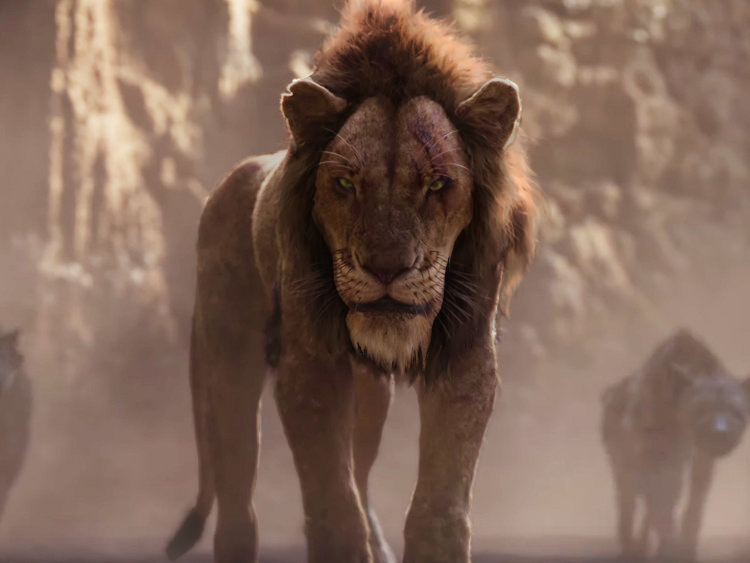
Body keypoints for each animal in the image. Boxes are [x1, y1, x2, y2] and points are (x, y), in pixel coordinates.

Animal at [166, 1, 540, 562]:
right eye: (344, 184)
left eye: (437, 184)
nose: (386, 269)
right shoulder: (309, 367)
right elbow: (333, 507)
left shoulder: (466, 360)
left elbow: (438, 507)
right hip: (229, 364)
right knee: (237, 507)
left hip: (370, 399)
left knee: (361, 479)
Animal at [602, 329, 750, 562]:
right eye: (702, 409)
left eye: (735, 411)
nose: (721, 432)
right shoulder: (653, 458)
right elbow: (660, 508)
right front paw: (671, 549)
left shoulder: (698, 459)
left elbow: (693, 504)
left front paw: (685, 547)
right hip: (624, 467)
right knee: (628, 502)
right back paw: (630, 549)